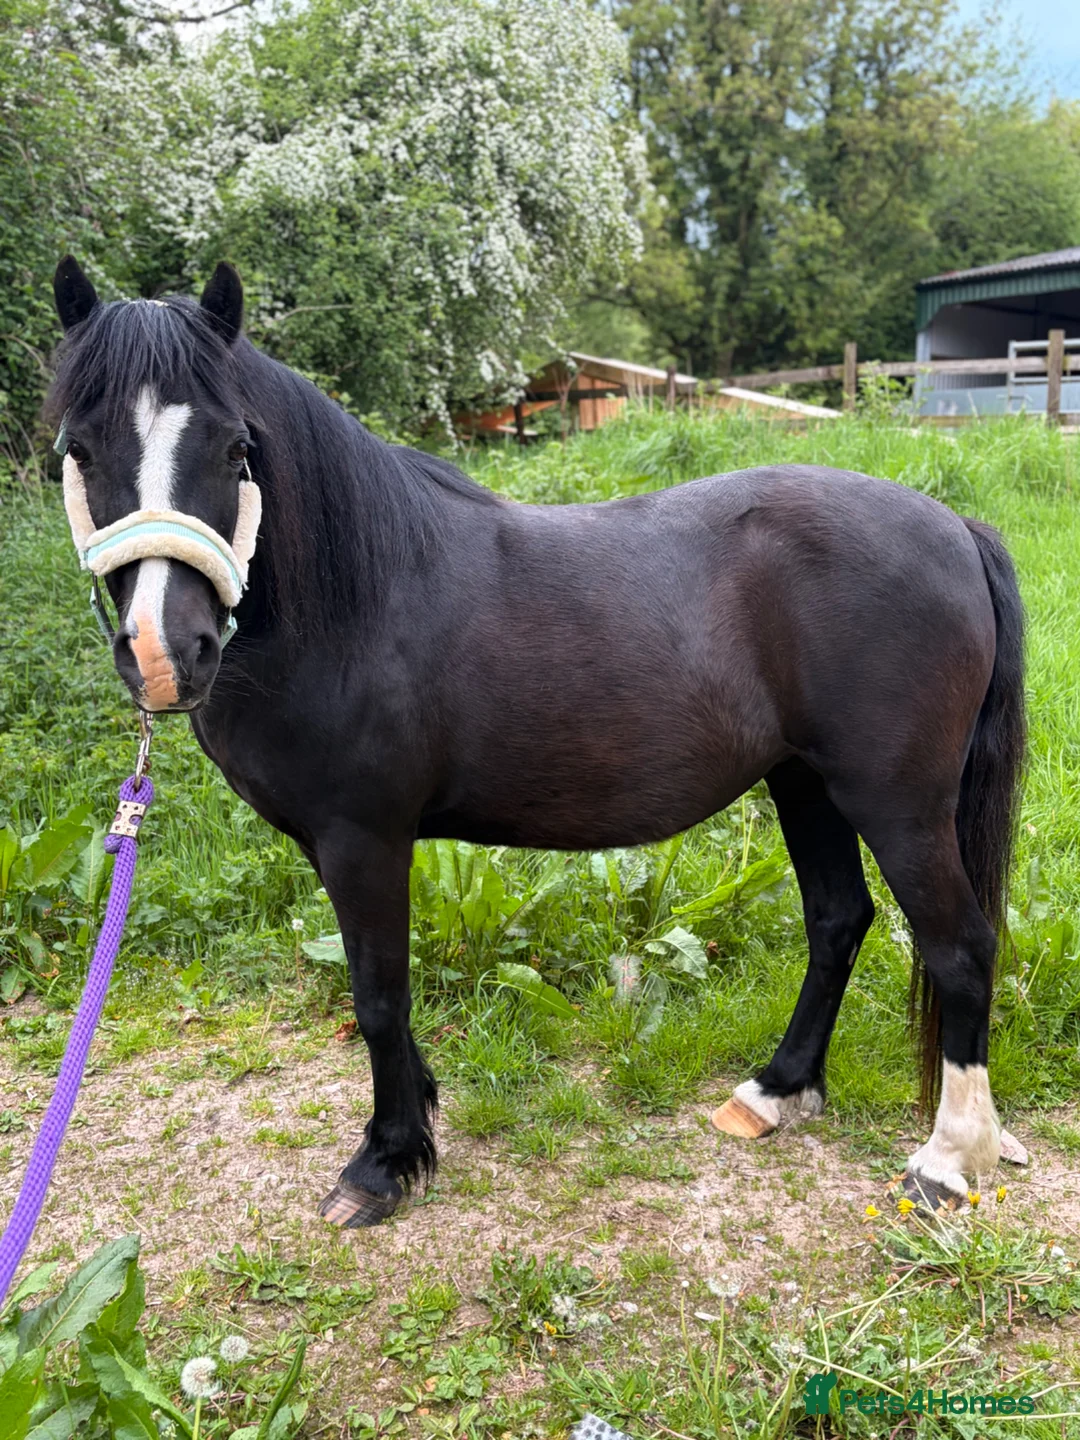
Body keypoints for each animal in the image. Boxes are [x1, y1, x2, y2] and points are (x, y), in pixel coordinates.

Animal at [48, 255, 1027, 1226]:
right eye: (79, 449)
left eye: (235, 448)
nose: (164, 653)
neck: (360, 598)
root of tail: (955, 528)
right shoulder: (339, 846)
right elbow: (384, 997)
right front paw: (418, 1116)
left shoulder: (364, 839)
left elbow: (378, 994)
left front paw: (385, 1162)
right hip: (805, 783)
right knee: (838, 921)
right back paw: (776, 1090)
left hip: (895, 803)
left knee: (959, 948)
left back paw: (946, 1163)